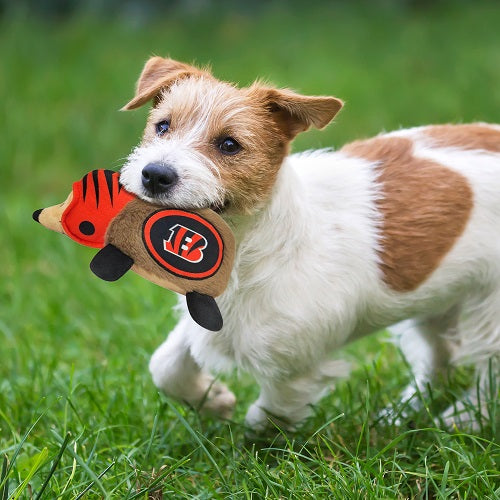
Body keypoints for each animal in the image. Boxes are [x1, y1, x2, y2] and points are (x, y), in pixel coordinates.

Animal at [120, 56, 500, 432]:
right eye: (162, 126)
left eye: (229, 145)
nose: (154, 174)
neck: (246, 246)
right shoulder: (206, 321)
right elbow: (165, 365)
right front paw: (213, 399)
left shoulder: (296, 367)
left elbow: (268, 417)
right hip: (436, 300)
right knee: (441, 357)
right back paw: (401, 415)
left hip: (489, 310)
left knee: (488, 371)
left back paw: (465, 419)